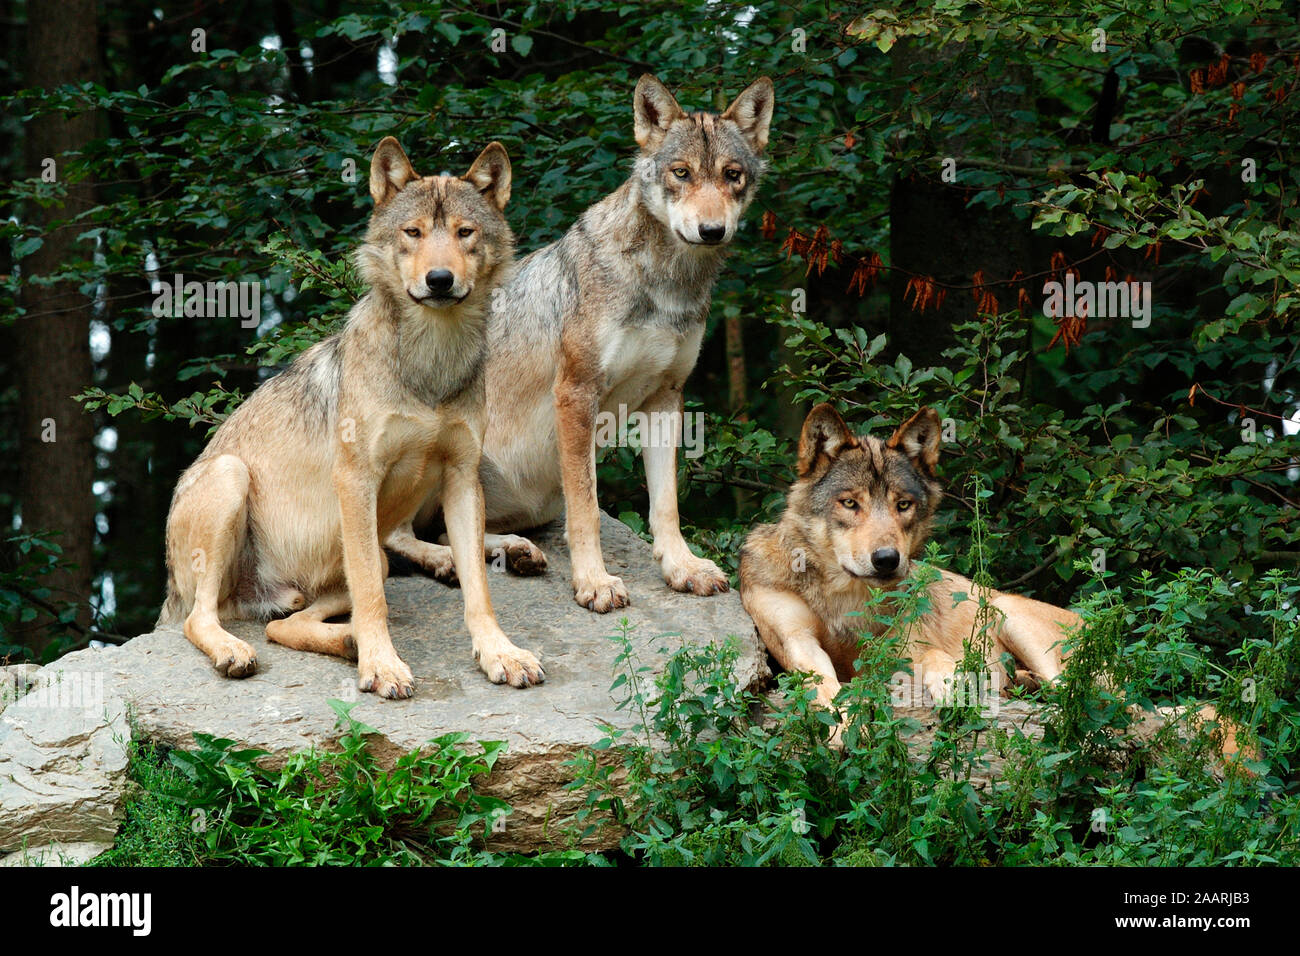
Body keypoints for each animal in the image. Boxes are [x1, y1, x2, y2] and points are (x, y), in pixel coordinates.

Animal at [157, 136, 543, 697]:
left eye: (464, 233)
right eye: (413, 233)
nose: (440, 279)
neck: (431, 364)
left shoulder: (462, 477)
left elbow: (479, 591)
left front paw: (500, 654)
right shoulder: (356, 480)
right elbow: (371, 599)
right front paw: (381, 665)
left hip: (348, 566)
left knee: (284, 624)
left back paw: (348, 639)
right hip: (230, 478)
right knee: (203, 619)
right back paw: (247, 649)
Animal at [382, 74, 769, 613]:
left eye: (732, 175)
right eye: (682, 173)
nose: (712, 231)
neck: (665, 284)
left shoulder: (666, 397)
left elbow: (665, 506)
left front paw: (682, 568)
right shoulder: (576, 394)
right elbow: (586, 508)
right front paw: (594, 582)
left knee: (450, 530)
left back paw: (514, 552)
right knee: (398, 537)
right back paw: (449, 563)